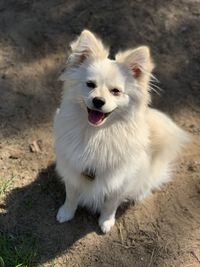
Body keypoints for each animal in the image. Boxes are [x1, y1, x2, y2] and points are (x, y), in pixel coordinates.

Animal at [53, 30, 189, 233]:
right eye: (90, 84)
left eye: (116, 91)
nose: (98, 101)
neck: (97, 134)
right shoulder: (73, 168)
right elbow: (71, 194)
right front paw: (66, 213)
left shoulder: (120, 180)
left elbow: (111, 204)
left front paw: (106, 222)